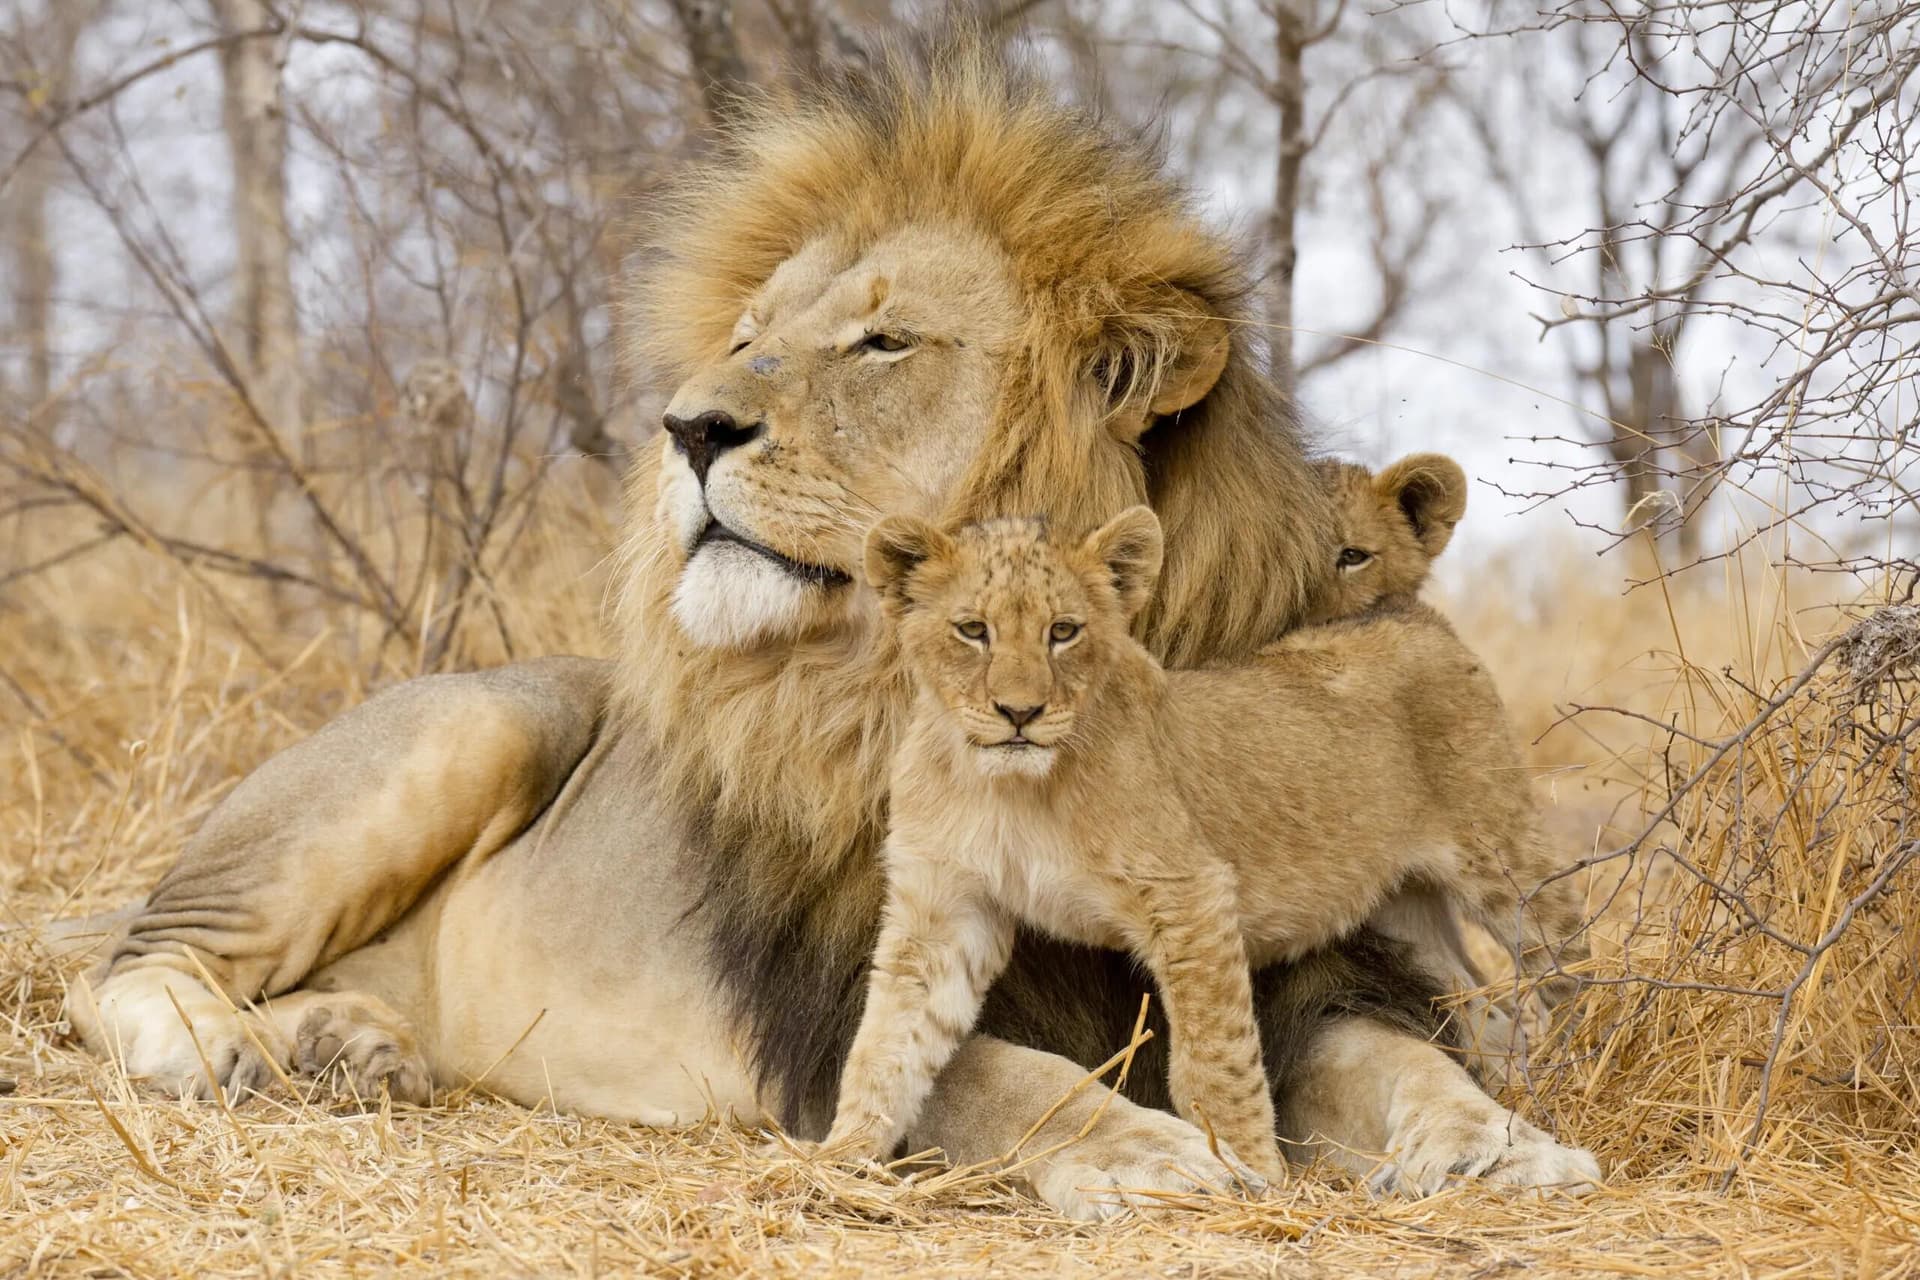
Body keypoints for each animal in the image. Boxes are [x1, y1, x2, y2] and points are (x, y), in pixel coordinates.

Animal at [824, 509, 1593, 1184]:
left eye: (1063, 631)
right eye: (972, 630)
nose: (1021, 712)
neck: (1007, 787)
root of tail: (1410, 613)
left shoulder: (1189, 893)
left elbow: (1211, 1064)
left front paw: (1255, 1177)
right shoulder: (943, 910)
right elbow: (886, 1040)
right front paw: (837, 1163)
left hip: (1502, 859)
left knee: (1567, 964)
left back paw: (1589, 1067)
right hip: (1403, 905)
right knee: (1480, 1000)